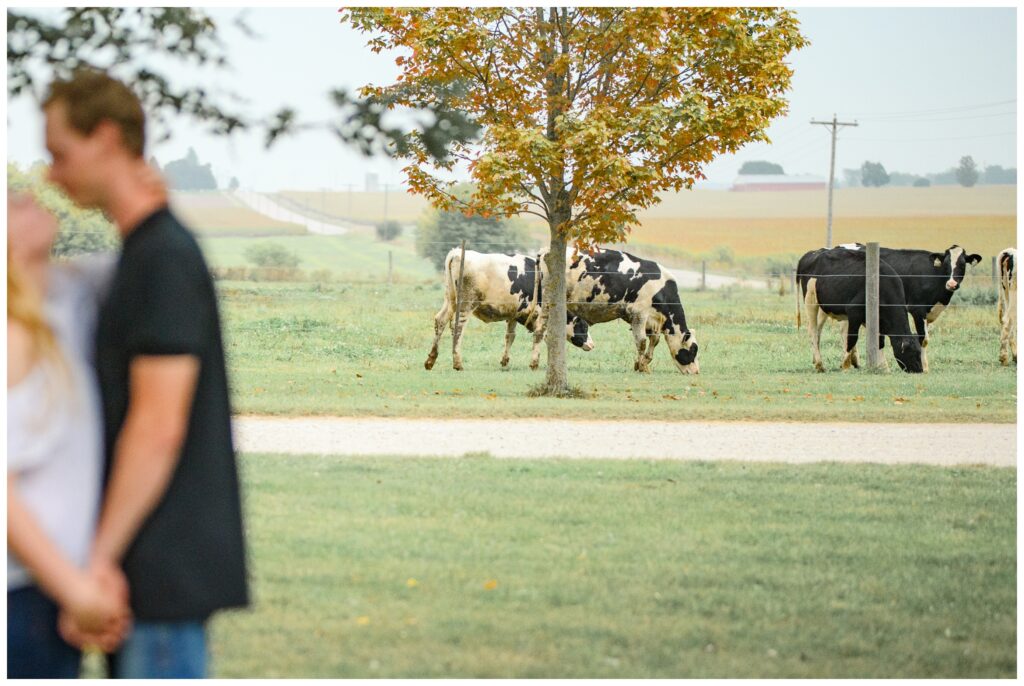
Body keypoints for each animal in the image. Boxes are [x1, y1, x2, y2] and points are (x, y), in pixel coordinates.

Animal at [423, 249, 598, 372]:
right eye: (583, 326)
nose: (592, 344)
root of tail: (457, 253)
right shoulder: (541, 313)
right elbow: (540, 335)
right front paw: (534, 363)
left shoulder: (514, 313)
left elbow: (510, 336)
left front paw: (505, 361)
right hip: (466, 303)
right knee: (458, 328)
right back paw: (457, 363)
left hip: (450, 300)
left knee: (440, 321)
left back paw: (431, 360)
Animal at [540, 248, 700, 372]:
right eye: (693, 350)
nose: (697, 371)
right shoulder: (638, 314)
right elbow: (641, 341)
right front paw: (640, 366)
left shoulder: (652, 320)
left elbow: (654, 341)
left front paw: (645, 363)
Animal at [794, 248, 925, 376]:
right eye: (913, 354)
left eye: (919, 352)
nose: (919, 370)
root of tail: (812, 253)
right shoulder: (854, 312)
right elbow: (852, 338)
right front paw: (845, 365)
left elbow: (880, 342)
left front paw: (884, 367)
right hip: (811, 300)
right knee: (812, 331)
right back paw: (819, 365)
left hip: (824, 307)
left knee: (818, 331)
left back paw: (815, 360)